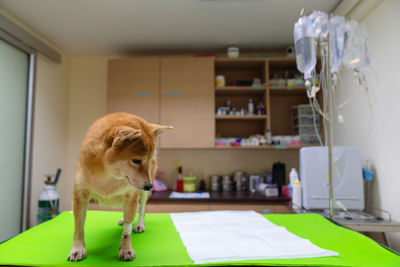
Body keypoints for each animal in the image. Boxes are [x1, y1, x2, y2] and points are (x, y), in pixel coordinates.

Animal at [67, 112, 172, 262]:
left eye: (149, 160)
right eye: (136, 160)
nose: (150, 186)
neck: (109, 177)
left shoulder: (131, 196)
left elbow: (127, 231)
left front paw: (126, 249)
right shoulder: (80, 195)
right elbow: (78, 227)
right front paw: (77, 249)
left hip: (143, 193)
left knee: (142, 210)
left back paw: (139, 224)